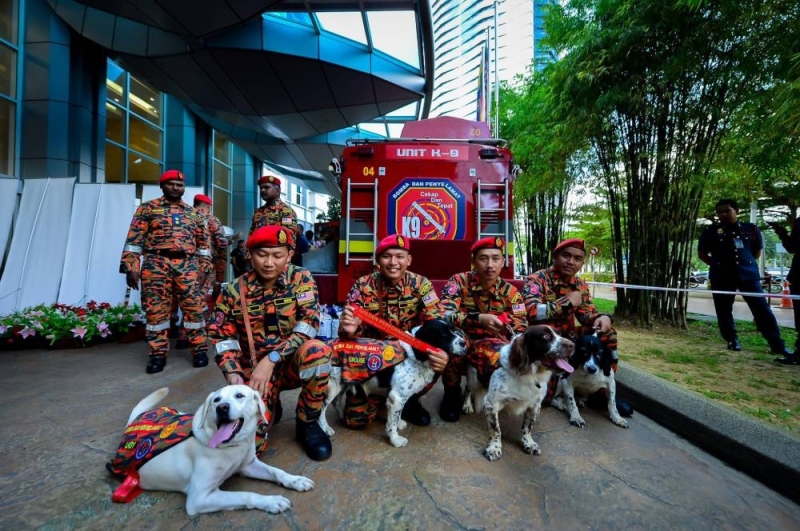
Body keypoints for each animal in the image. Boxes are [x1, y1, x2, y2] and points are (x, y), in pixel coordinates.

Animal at [108, 388, 314, 516]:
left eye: (239, 395)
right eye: (216, 400)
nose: (222, 408)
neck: (231, 447)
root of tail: (134, 422)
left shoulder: (248, 465)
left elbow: (276, 471)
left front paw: (295, 480)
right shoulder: (199, 498)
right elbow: (244, 494)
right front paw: (271, 501)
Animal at [318, 320, 468, 448]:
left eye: (453, 329)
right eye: (444, 334)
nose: (464, 343)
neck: (413, 355)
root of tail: (327, 344)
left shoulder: (399, 398)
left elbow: (397, 415)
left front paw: (400, 422)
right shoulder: (397, 397)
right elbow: (392, 423)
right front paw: (395, 439)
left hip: (343, 382)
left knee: (336, 401)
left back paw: (341, 417)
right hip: (333, 385)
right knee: (322, 407)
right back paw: (325, 428)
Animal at [466, 324, 572, 462]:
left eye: (559, 334)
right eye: (546, 336)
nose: (572, 345)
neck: (529, 375)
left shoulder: (535, 405)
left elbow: (528, 427)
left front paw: (529, 444)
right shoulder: (491, 403)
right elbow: (496, 430)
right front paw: (494, 448)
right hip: (473, 379)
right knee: (468, 389)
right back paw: (467, 405)